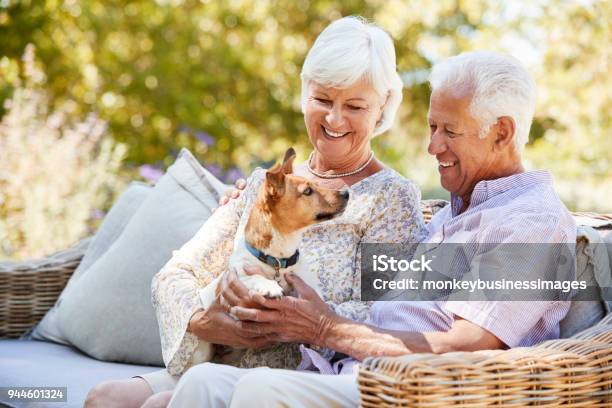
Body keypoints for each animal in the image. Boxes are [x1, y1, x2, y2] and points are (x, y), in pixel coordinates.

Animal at [191, 148, 350, 364]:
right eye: (307, 191)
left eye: (317, 184)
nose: (346, 192)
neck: (279, 261)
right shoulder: (236, 277)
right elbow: (254, 277)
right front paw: (270, 287)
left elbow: (316, 294)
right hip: (202, 351)